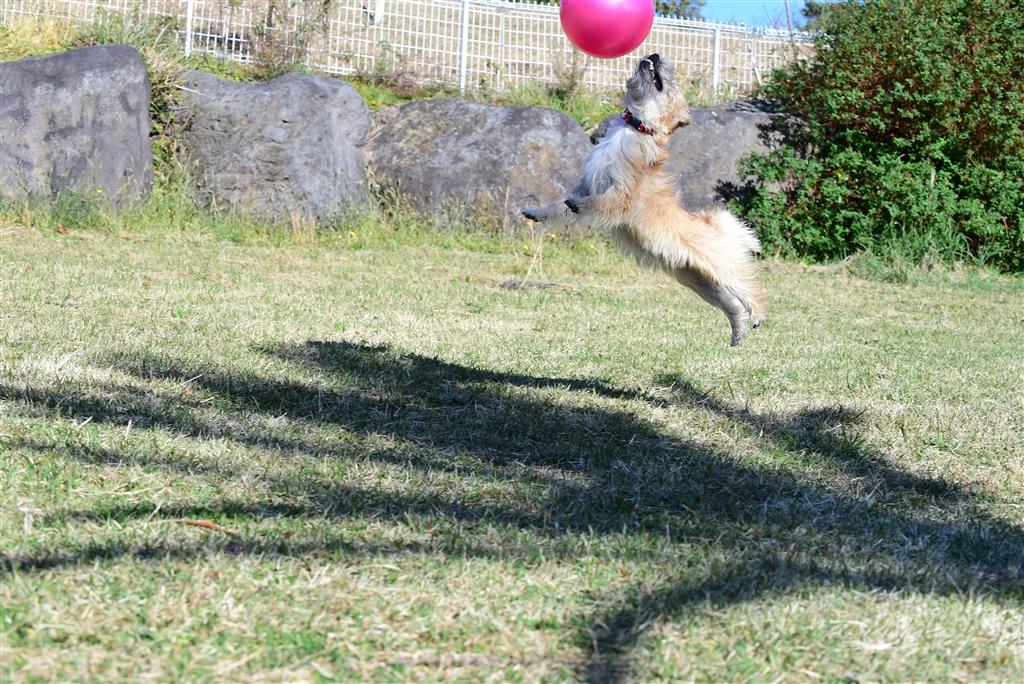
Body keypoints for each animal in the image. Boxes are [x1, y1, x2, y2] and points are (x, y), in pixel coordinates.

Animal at [522, 54, 766, 346]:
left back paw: (757, 313)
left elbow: (597, 202)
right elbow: (560, 205)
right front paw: (538, 212)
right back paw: (738, 330)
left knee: (746, 285)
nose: (656, 55)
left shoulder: (621, 194)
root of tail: (710, 223)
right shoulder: (584, 184)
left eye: (670, 80)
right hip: (697, 280)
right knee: (730, 303)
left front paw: (581, 207)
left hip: (720, 266)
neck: (635, 127)